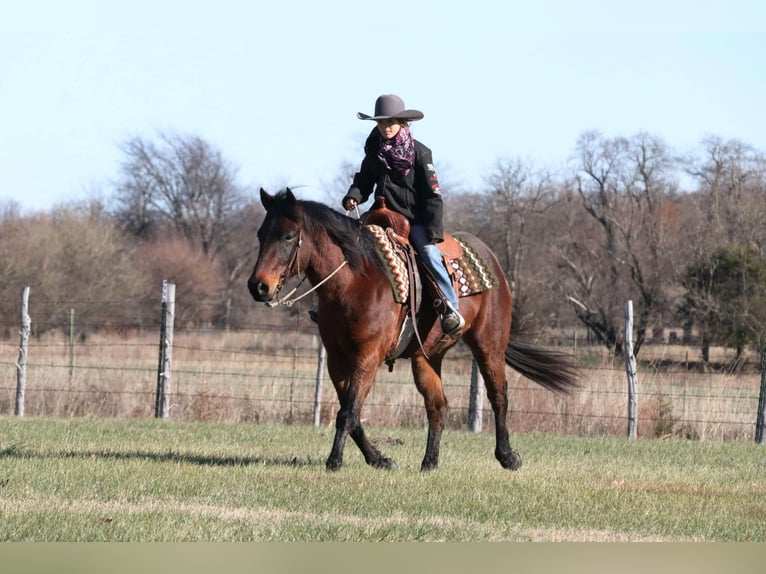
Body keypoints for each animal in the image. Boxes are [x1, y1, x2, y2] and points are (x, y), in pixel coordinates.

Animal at [249, 189, 580, 472]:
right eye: (261, 234)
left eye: (288, 235)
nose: (258, 286)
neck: (354, 282)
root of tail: (491, 259)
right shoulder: (337, 360)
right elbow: (352, 412)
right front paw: (380, 460)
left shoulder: (368, 356)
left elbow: (348, 412)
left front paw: (334, 461)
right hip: (427, 357)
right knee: (438, 405)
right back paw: (429, 462)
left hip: (489, 346)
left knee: (498, 395)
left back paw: (508, 456)